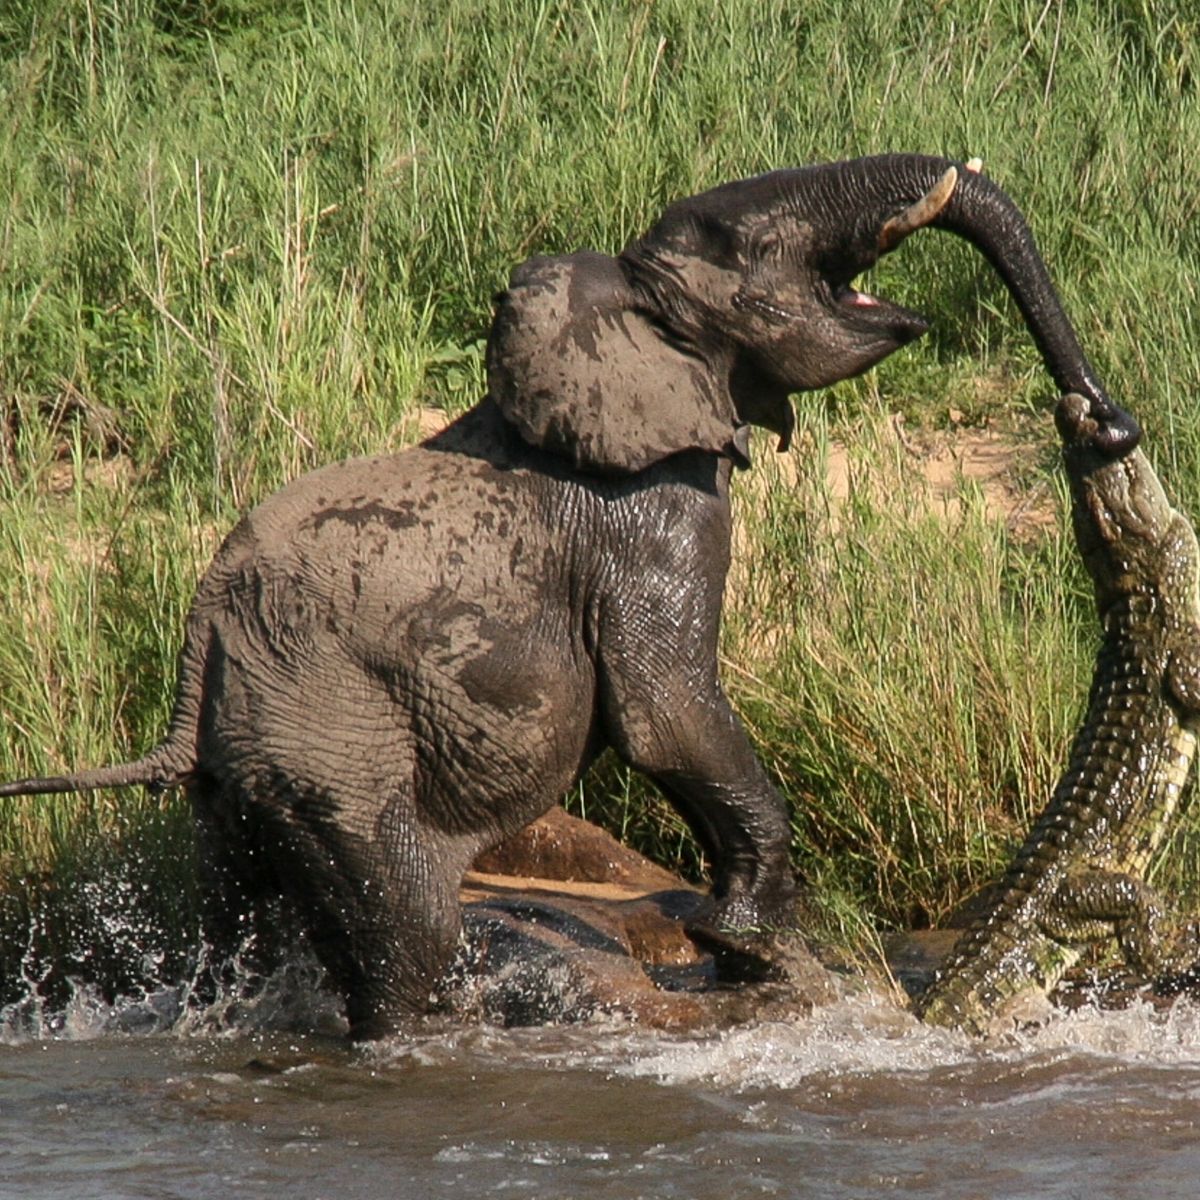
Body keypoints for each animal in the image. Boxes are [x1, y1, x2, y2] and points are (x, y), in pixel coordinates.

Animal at [0, 152, 1142, 1041]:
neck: (622, 311)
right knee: (406, 933)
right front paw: (756, 948)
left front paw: (746, 957)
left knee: (234, 916)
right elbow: (665, 713)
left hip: (249, 763)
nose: (1104, 420)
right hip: (331, 734)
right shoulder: (655, 515)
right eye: (742, 239)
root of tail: (200, 637)